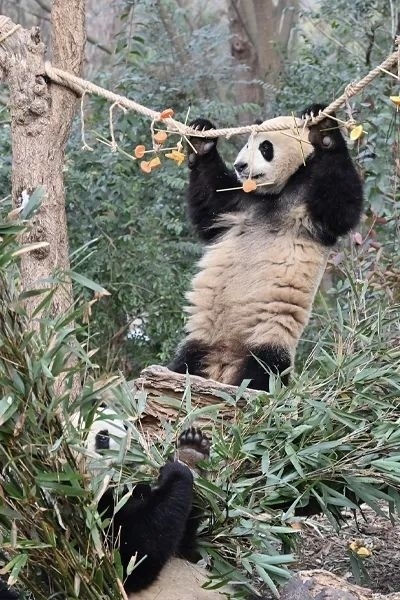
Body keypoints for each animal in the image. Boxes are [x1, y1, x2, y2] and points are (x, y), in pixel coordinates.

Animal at [168, 104, 363, 391]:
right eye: (247, 143)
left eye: (265, 147)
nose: (240, 165)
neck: (277, 191)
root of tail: (224, 363)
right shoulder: (238, 202)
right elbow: (209, 204)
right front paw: (201, 138)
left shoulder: (310, 204)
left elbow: (342, 204)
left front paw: (324, 129)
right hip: (202, 341)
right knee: (186, 360)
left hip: (269, 335)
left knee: (264, 370)